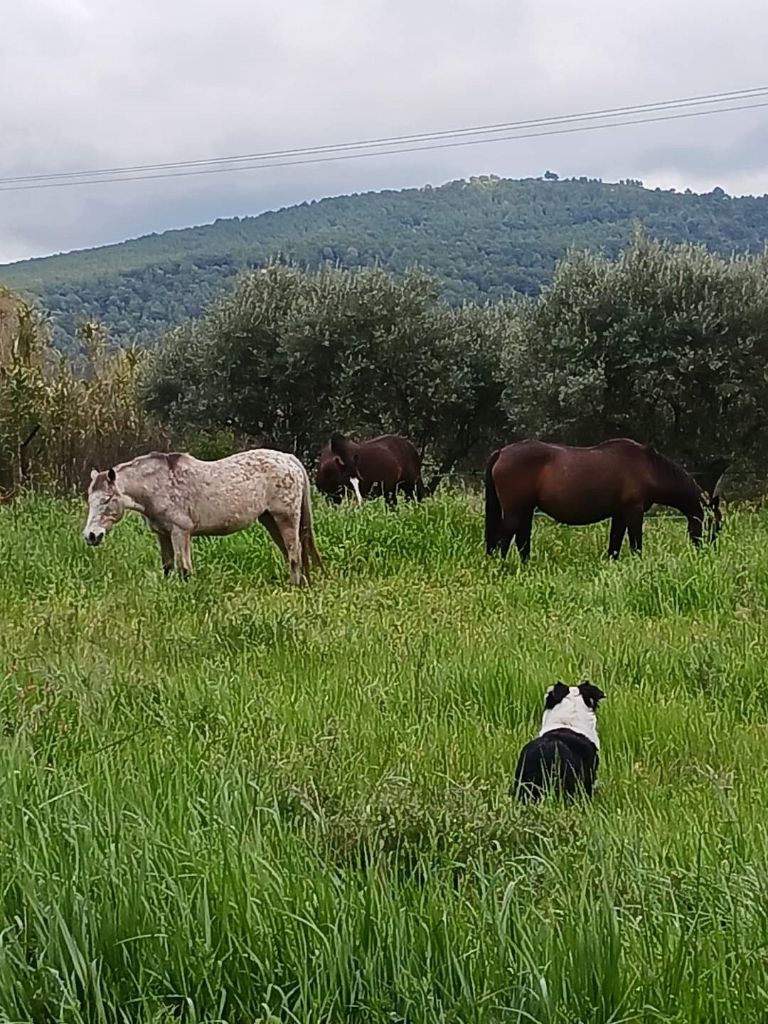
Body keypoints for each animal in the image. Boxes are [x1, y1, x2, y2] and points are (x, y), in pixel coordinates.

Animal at [82, 450, 323, 585]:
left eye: (107, 499)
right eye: (90, 500)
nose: (91, 535)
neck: (158, 485)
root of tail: (289, 460)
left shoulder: (180, 532)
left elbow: (185, 570)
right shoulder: (162, 534)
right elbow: (168, 567)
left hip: (286, 518)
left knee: (294, 553)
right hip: (270, 520)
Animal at [483, 438, 724, 561]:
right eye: (713, 524)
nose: (708, 553)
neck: (647, 467)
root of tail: (501, 452)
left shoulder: (619, 514)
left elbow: (614, 544)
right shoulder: (633, 512)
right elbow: (636, 544)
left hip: (526, 510)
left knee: (521, 540)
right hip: (515, 511)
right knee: (504, 538)